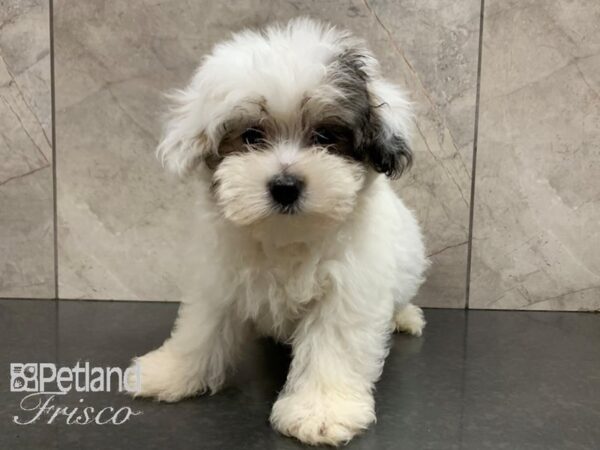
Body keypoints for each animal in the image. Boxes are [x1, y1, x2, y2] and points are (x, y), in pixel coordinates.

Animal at [129, 18, 428, 446]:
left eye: (324, 136)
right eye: (252, 136)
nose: (285, 186)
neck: (285, 235)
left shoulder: (348, 290)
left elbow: (332, 346)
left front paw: (321, 411)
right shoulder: (219, 279)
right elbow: (200, 330)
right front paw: (171, 371)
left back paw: (404, 317)